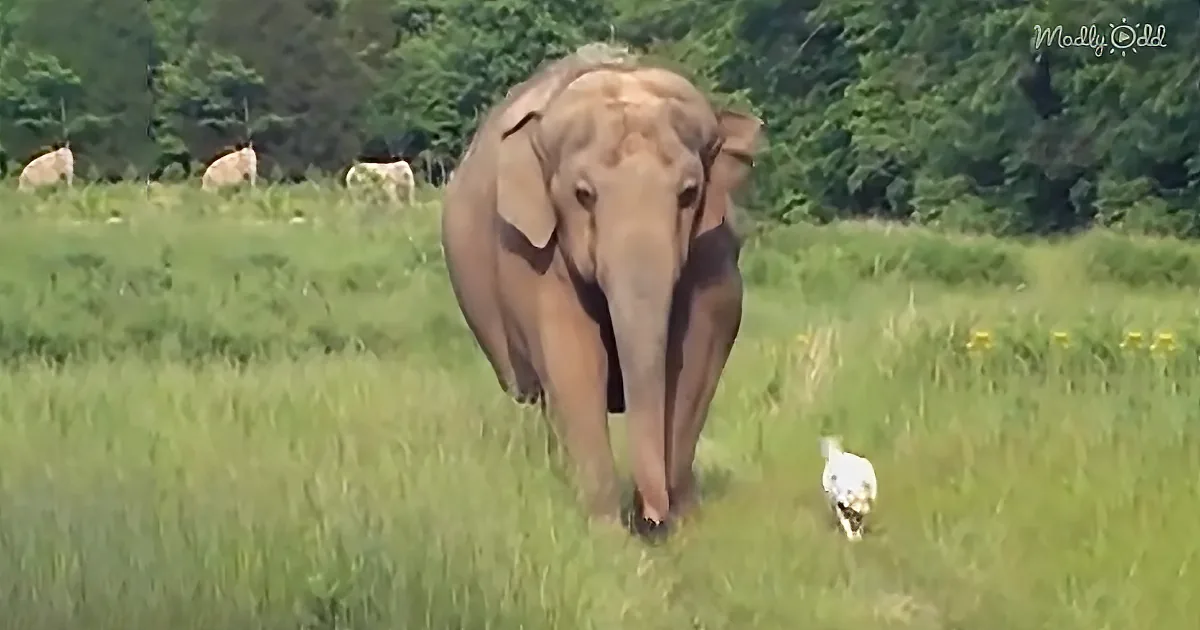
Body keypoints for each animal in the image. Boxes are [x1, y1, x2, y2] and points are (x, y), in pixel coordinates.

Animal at [441, 44, 763, 533]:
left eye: (689, 194)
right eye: (583, 195)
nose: (651, 514)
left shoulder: (715, 249)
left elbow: (698, 350)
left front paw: (681, 521)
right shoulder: (535, 253)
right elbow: (572, 355)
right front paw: (606, 530)